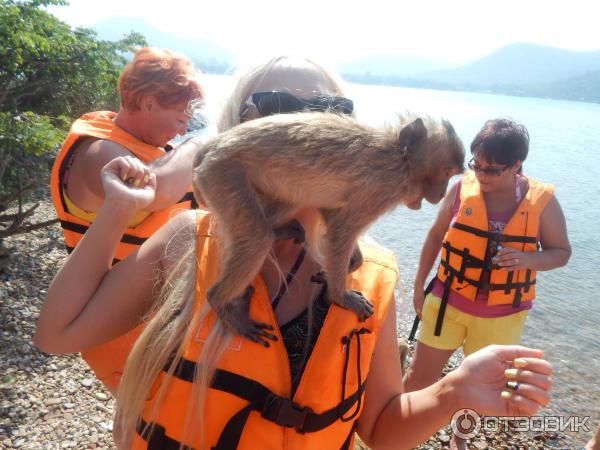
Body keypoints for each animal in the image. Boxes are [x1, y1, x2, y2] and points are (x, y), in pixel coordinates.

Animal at [192, 111, 464, 344]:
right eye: (447, 171)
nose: (442, 193)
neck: (400, 154)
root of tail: (212, 144)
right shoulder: (385, 185)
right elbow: (343, 229)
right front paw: (340, 296)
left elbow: (332, 216)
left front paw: (345, 267)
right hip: (222, 174)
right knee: (258, 237)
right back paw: (220, 301)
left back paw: (279, 230)